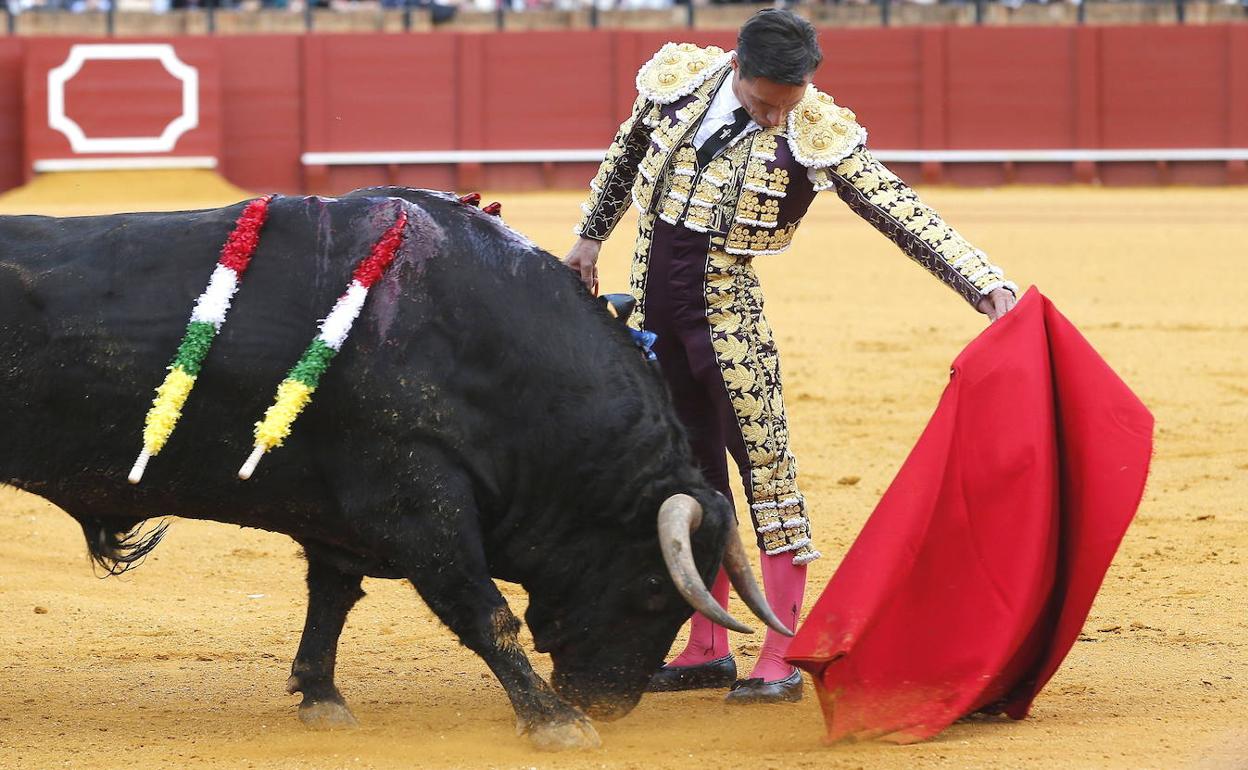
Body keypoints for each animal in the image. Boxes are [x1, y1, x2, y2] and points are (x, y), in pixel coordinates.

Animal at [0, 189, 778, 748]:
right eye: (650, 591)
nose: (608, 703)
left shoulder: (339, 517)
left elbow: (332, 599)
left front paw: (320, 697)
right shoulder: (418, 503)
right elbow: (485, 612)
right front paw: (555, 721)